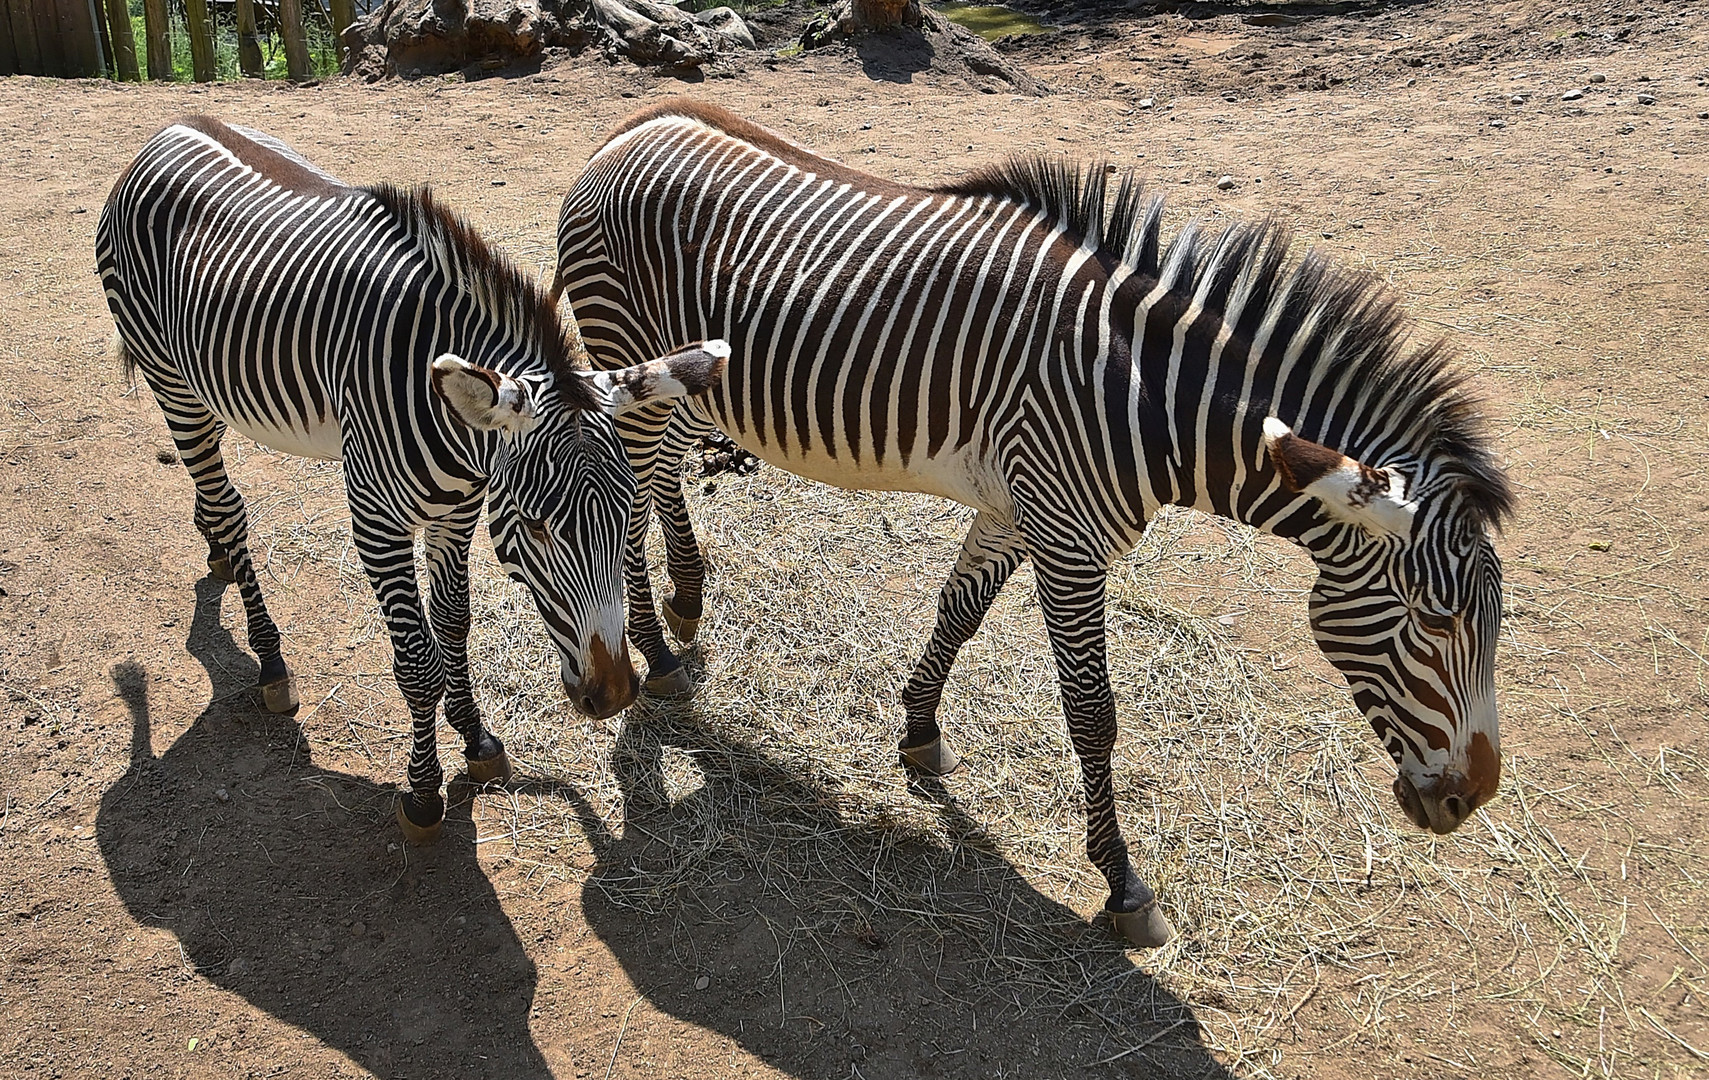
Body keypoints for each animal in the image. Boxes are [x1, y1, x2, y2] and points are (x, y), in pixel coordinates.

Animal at [98, 117, 728, 844]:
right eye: (537, 526)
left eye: (630, 513)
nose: (617, 695)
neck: (451, 421)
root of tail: (168, 131)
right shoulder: (378, 522)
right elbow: (418, 663)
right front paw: (425, 791)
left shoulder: (458, 512)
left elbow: (453, 625)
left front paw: (477, 740)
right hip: (170, 381)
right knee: (228, 503)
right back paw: (270, 657)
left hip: (210, 383)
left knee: (212, 491)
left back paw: (217, 553)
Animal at [553, 101, 1517, 943]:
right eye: (1437, 621)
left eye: (1491, 623)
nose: (1471, 798)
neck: (1149, 403)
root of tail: (628, 129)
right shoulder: (1067, 542)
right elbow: (1091, 712)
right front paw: (1121, 883)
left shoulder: (1020, 512)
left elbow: (959, 611)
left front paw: (919, 730)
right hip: (630, 356)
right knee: (628, 499)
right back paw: (658, 654)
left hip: (688, 383)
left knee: (661, 476)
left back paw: (686, 599)